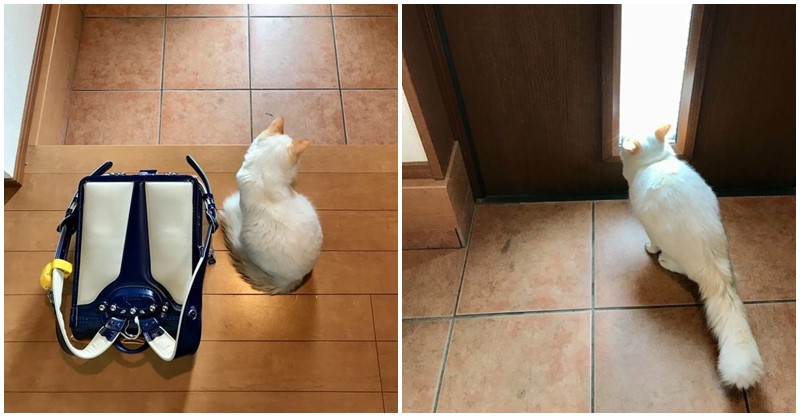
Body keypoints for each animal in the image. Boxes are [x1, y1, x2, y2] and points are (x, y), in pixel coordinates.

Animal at [620, 124, 763, 389]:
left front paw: (649, 249)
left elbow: (651, 244)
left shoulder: (647, 225)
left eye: (625, 136)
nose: (622, 132)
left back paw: (665, 260)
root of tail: (716, 269)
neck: (655, 162)